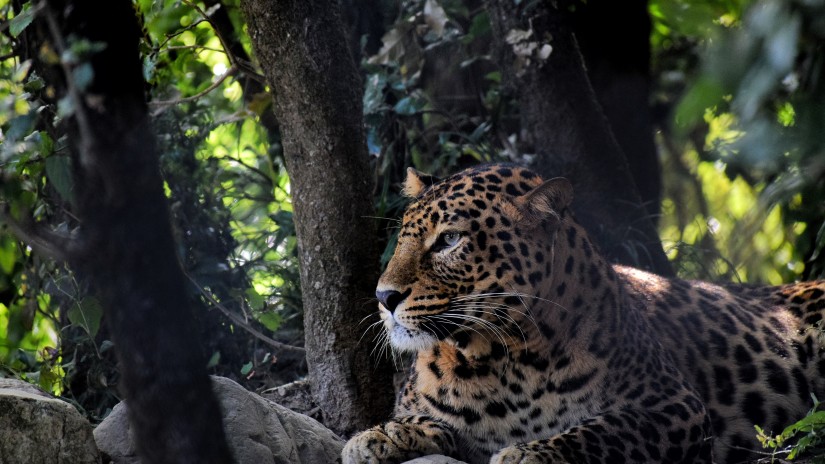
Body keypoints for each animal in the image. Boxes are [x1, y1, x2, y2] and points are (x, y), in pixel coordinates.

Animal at [342, 164, 824, 464]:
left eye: (449, 240)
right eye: (403, 238)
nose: (384, 296)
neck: (501, 360)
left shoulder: (676, 407)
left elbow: (605, 429)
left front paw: (529, 452)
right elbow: (423, 419)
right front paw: (376, 437)